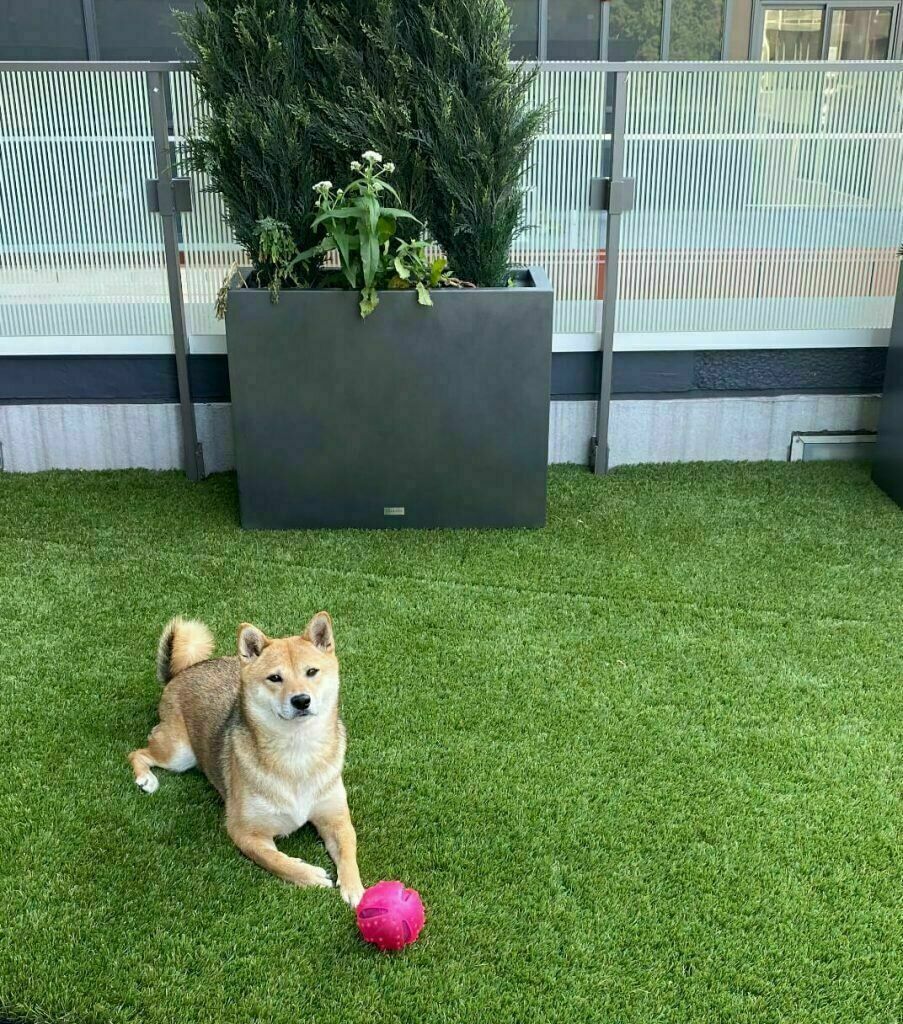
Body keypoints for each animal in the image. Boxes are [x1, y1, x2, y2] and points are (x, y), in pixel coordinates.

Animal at [127, 610, 366, 909]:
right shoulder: (244, 831)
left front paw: (355, 888)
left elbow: (349, 848)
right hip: (178, 753)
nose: (301, 700)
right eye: (275, 678)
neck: (297, 752)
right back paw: (145, 778)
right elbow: (276, 860)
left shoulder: (336, 819)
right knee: (138, 752)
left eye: (312, 671)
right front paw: (308, 875)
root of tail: (180, 673)